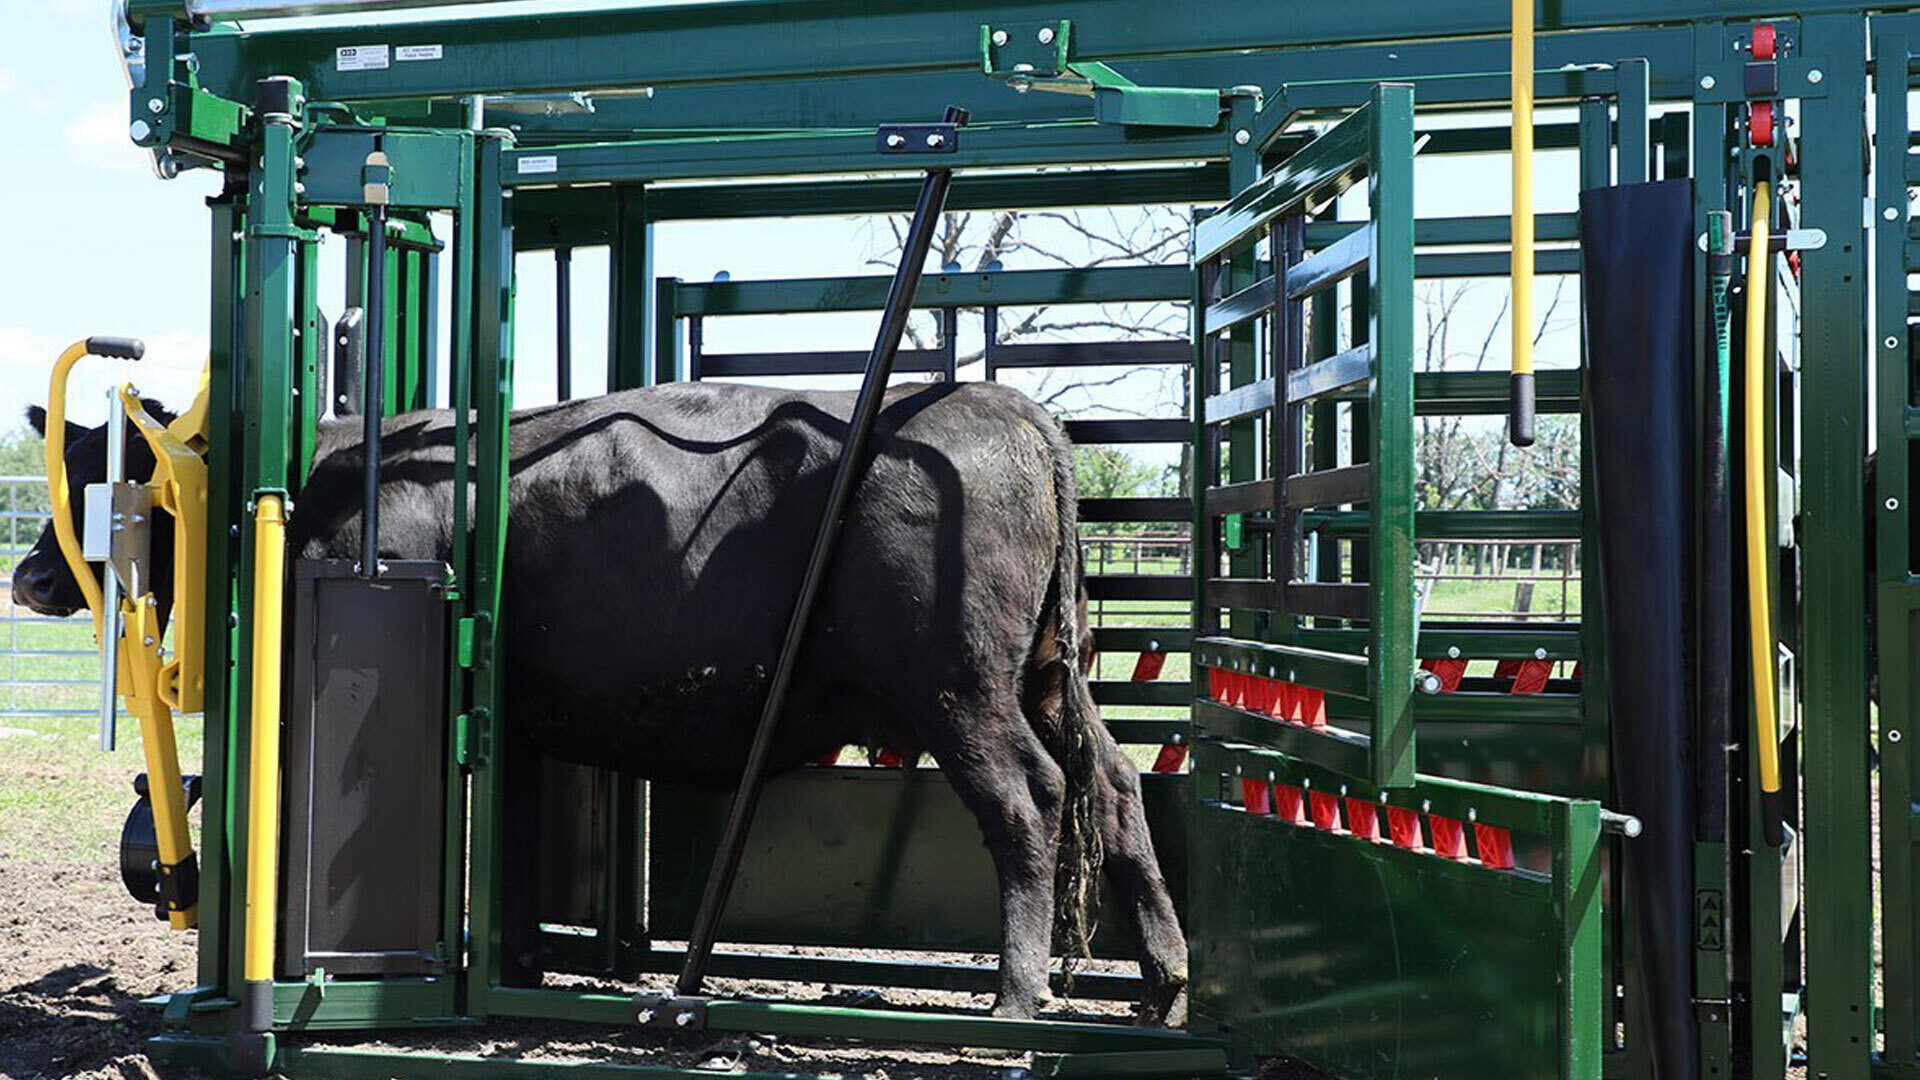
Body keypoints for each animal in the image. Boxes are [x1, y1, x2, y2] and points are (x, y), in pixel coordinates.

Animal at [15, 382, 1182, 1022]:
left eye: (113, 476)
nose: (28, 576)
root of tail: (1010, 407)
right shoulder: (523, 721)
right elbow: (516, 846)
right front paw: (516, 966)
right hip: (1046, 675)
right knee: (1118, 787)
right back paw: (1163, 978)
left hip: (958, 688)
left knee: (1029, 802)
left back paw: (1018, 996)